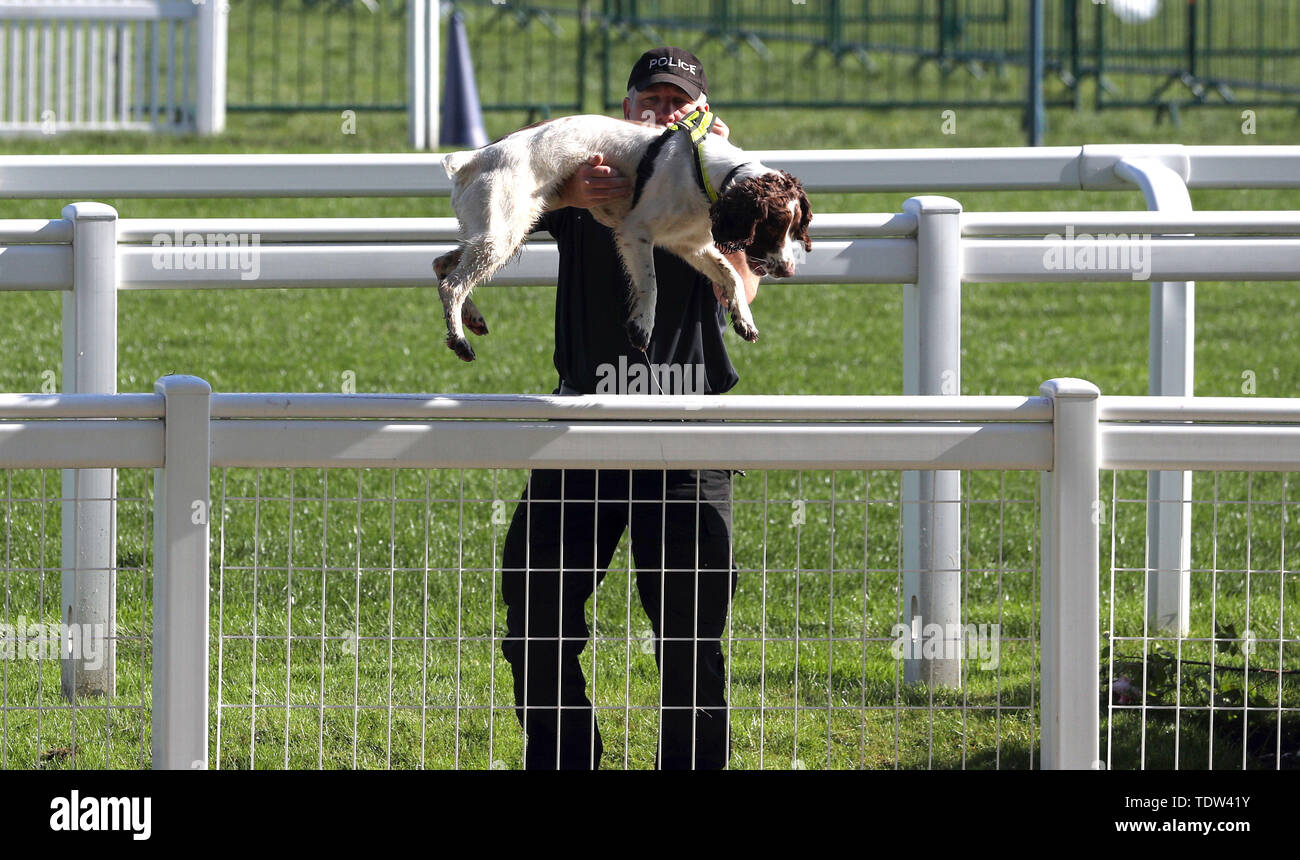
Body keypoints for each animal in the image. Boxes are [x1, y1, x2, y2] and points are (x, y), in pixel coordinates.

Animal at [431, 111, 806, 361]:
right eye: (773, 225)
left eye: (794, 227)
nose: (789, 270)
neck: (703, 175)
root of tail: (474, 157)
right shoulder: (635, 233)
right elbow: (651, 284)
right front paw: (642, 327)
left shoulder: (691, 246)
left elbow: (732, 277)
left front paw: (744, 320)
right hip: (501, 237)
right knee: (453, 285)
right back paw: (460, 341)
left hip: (499, 236)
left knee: (441, 265)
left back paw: (473, 318)